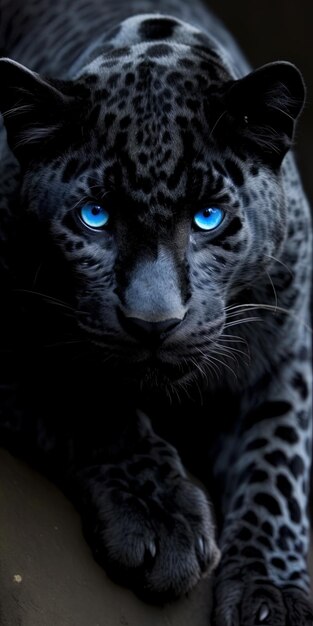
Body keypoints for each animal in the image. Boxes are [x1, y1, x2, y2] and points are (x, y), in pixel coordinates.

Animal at [0, 0, 312, 620]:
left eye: (208, 217)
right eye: (94, 216)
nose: (154, 324)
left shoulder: (284, 354)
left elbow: (277, 459)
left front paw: (269, 592)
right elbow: (86, 400)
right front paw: (162, 522)